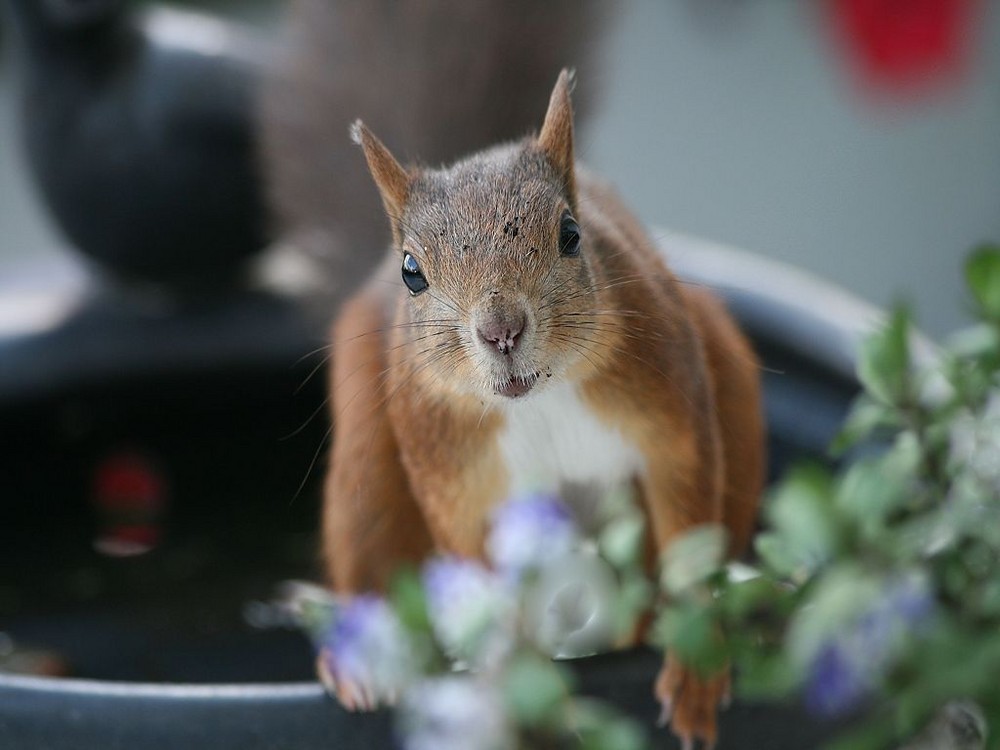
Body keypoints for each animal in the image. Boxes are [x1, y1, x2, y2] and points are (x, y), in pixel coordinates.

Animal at [324, 69, 760, 748]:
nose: (500, 330)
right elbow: (480, 575)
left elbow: (687, 519)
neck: (540, 399)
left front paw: (694, 665)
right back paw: (360, 665)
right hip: (368, 447)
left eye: (571, 235)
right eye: (412, 271)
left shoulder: (670, 412)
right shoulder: (452, 473)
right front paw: (520, 684)